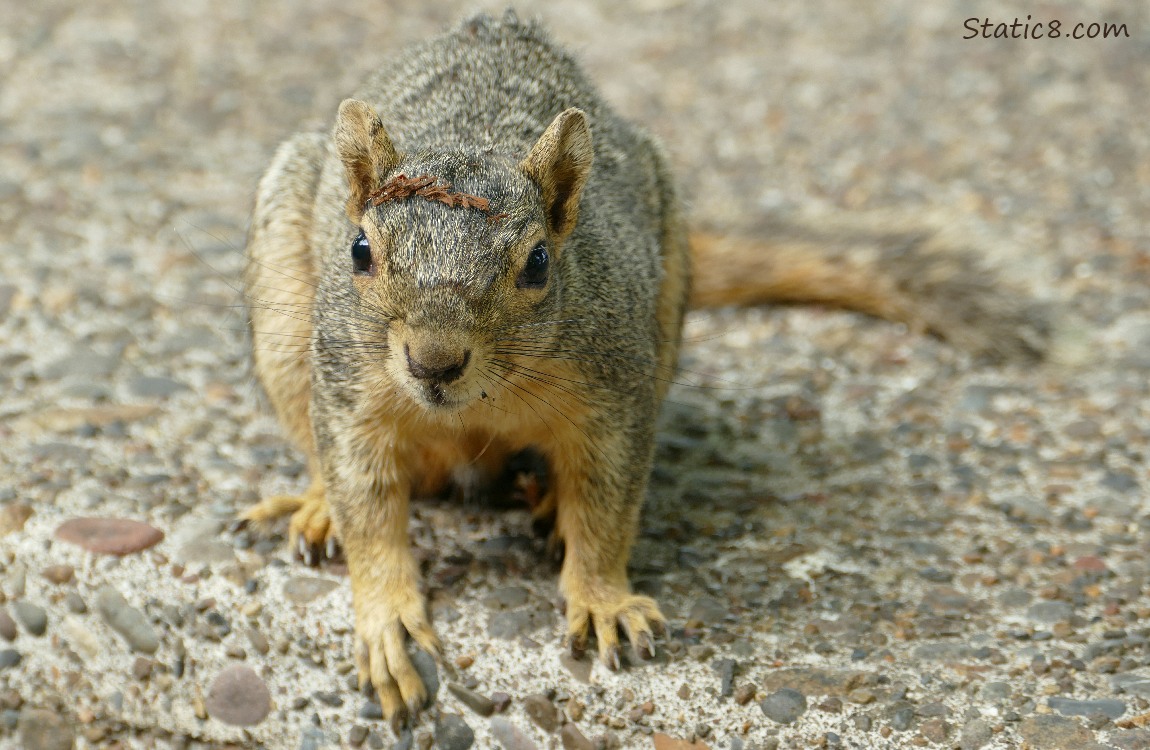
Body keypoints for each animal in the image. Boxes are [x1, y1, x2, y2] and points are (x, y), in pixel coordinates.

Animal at [240, 10, 1053, 726]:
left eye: (539, 263)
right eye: (359, 251)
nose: (433, 362)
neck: (479, 402)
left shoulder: (617, 392)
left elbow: (607, 505)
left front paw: (600, 599)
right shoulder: (351, 393)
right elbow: (369, 508)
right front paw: (388, 626)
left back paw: (548, 505)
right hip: (284, 322)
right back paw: (316, 505)